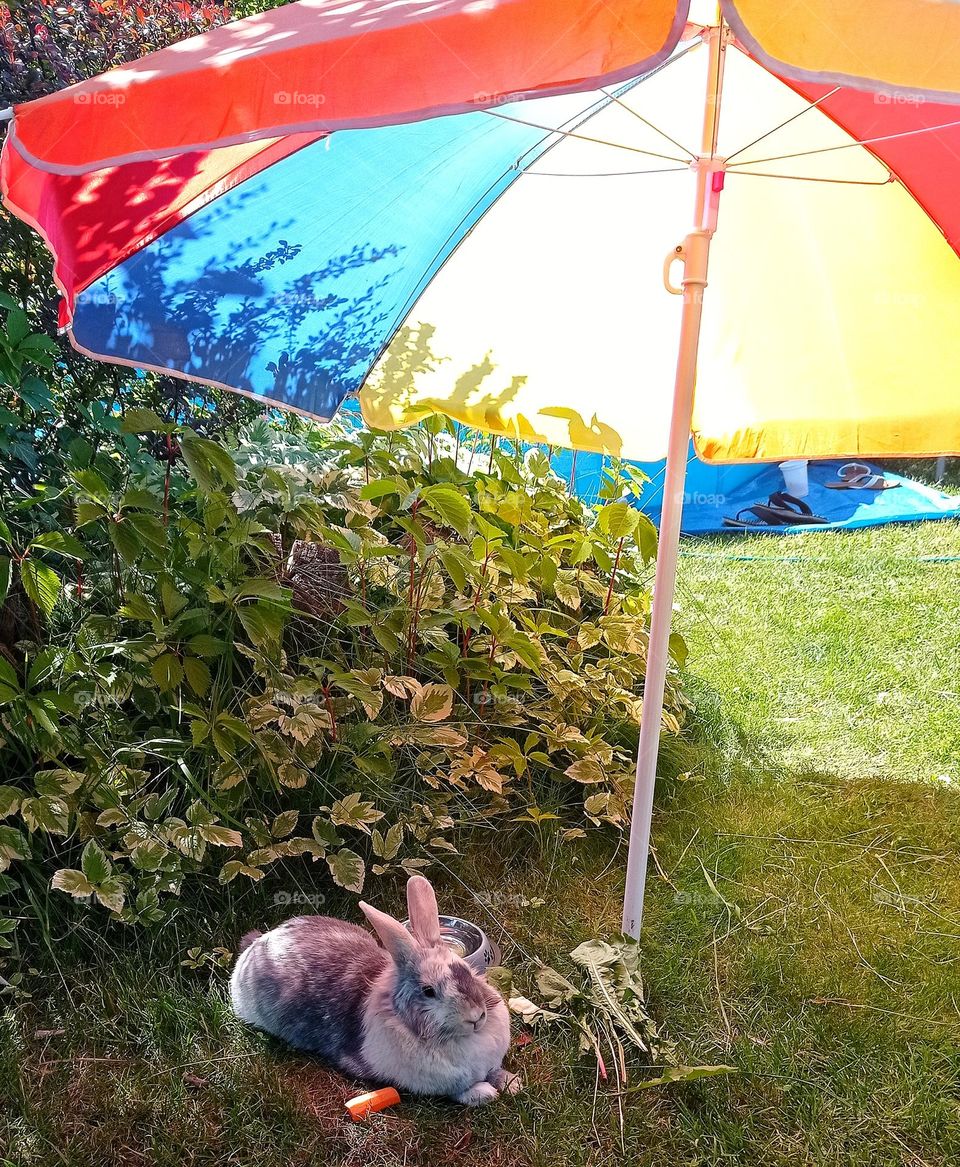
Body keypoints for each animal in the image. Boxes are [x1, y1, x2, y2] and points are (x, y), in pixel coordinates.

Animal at [229, 874, 519, 1105]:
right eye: (428, 991)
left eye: (466, 969)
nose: (476, 1016)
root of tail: (257, 945)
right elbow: (460, 1091)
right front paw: (484, 1093)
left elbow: (494, 1071)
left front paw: (513, 1082)